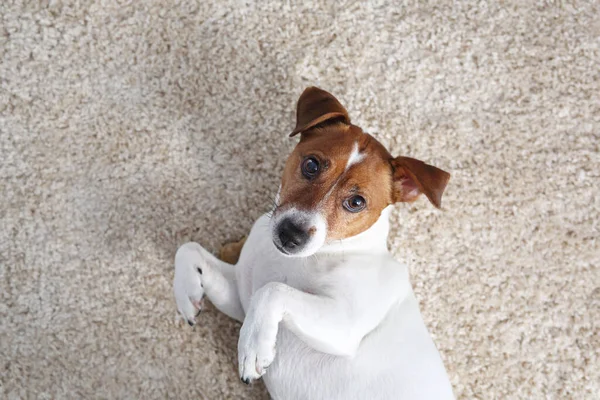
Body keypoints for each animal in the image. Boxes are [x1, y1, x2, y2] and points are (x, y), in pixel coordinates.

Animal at [173, 86, 454, 398]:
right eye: (311, 164)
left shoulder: (344, 324)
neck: (316, 255)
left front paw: (252, 346)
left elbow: (273, 291)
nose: (290, 235)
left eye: (357, 202)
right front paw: (186, 293)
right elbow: (188, 250)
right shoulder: (239, 297)